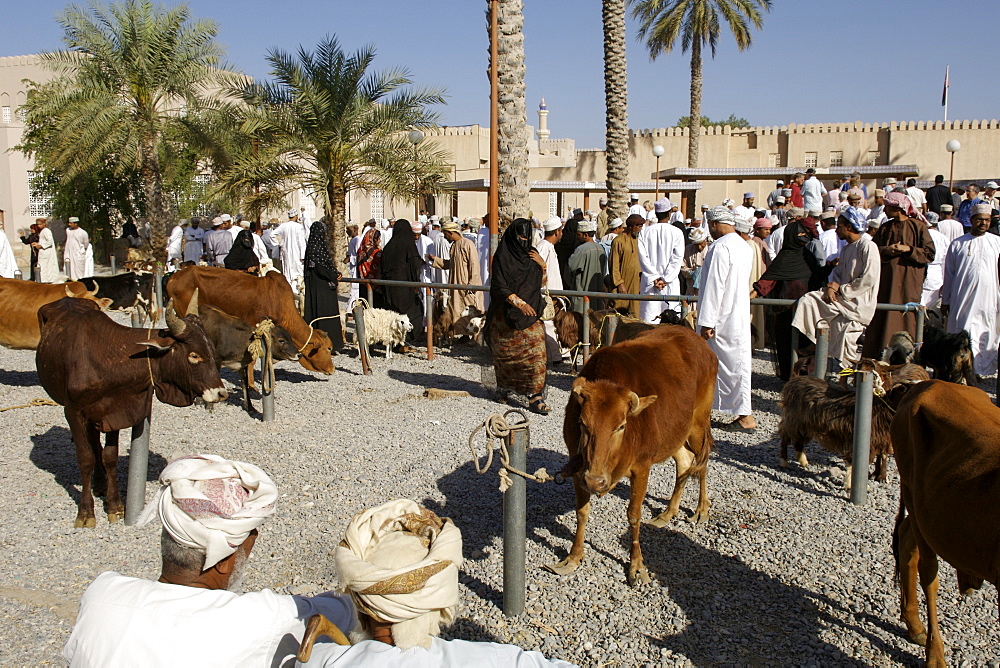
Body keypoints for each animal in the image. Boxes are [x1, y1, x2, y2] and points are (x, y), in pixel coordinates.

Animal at [36, 298, 227, 528]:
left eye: (212, 350)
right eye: (194, 355)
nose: (221, 393)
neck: (108, 358)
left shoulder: (115, 412)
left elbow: (109, 457)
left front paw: (115, 506)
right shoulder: (73, 412)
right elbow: (85, 459)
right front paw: (86, 513)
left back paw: (100, 483)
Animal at [548, 324, 720, 584]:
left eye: (621, 426)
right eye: (582, 423)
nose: (595, 481)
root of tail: (700, 342)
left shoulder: (642, 467)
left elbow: (633, 515)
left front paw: (636, 566)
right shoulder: (577, 469)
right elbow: (581, 513)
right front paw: (573, 557)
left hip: (699, 424)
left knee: (702, 463)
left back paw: (702, 508)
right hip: (676, 432)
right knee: (685, 461)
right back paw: (668, 512)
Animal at [772, 360, 928, 490]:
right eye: (911, 389)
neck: (882, 408)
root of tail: (795, 378)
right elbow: (855, 464)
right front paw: (851, 486)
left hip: (806, 425)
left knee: (798, 441)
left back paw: (803, 461)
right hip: (794, 420)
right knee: (785, 437)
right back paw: (784, 461)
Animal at [892, 380, 1000, 668]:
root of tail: (928, 384)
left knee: (906, 539)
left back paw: (914, 625)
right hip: (913, 492)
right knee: (928, 573)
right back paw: (934, 653)